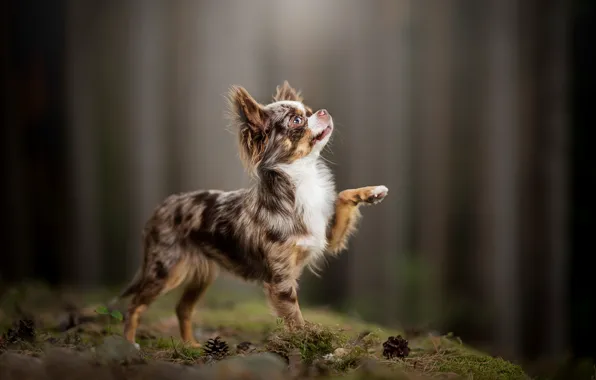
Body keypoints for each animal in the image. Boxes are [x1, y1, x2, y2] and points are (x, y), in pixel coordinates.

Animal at [118, 81, 388, 348]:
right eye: (297, 121)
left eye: (309, 111)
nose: (322, 112)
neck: (301, 179)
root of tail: (160, 208)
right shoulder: (281, 281)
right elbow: (296, 318)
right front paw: (309, 342)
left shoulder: (326, 237)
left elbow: (343, 196)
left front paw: (372, 192)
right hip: (166, 271)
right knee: (134, 306)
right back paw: (130, 344)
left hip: (202, 275)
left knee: (182, 308)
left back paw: (191, 346)